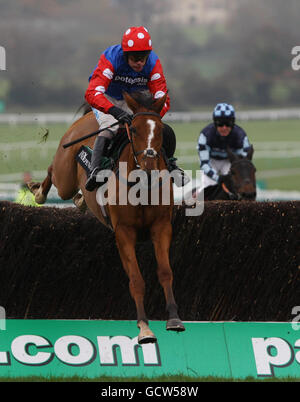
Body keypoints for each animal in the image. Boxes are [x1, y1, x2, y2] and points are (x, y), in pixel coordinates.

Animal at [29, 92, 186, 344]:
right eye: (134, 130)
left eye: (161, 130)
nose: (150, 166)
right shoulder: (124, 232)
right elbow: (136, 280)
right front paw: (144, 328)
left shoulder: (161, 227)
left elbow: (165, 272)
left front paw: (174, 319)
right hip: (64, 176)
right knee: (53, 172)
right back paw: (38, 191)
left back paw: (81, 200)